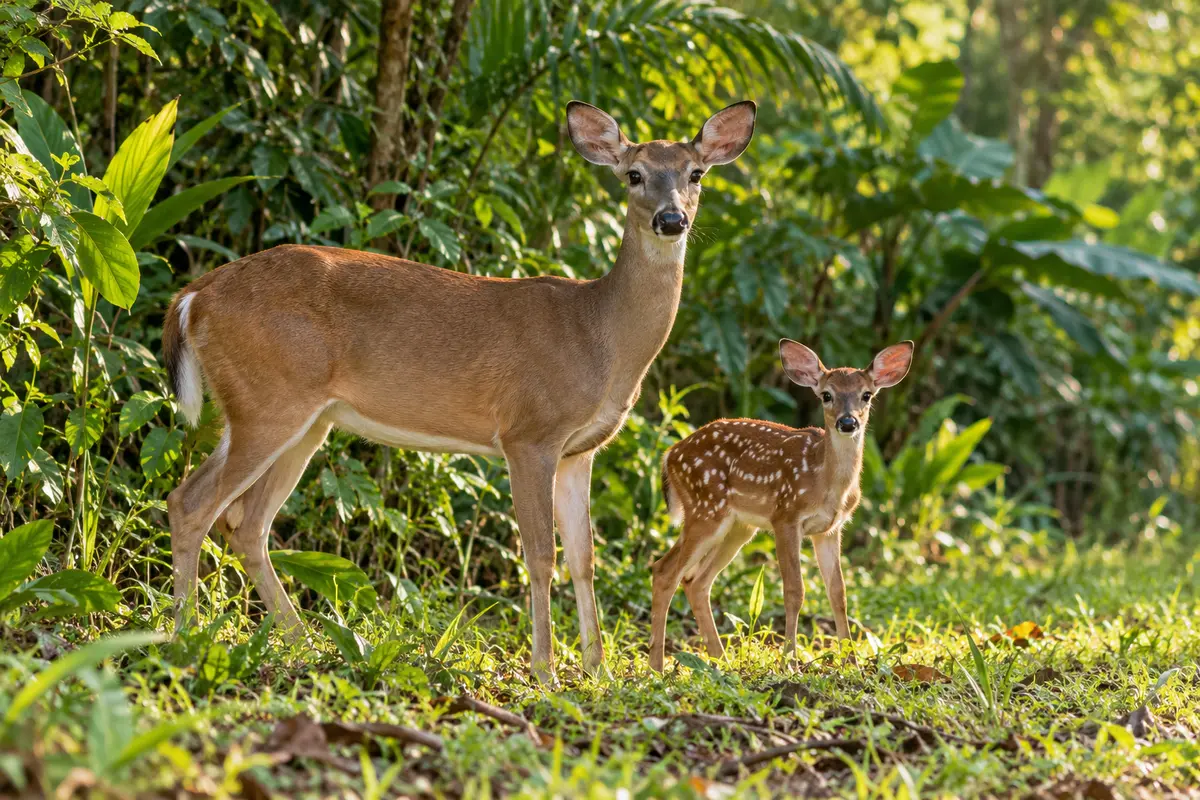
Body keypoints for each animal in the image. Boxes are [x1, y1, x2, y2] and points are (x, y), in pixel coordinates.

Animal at [161, 99, 756, 683]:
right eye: (634, 174)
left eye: (696, 174)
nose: (671, 219)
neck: (600, 334)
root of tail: (194, 295)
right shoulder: (529, 432)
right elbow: (541, 555)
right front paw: (546, 672)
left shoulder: (580, 451)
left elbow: (585, 558)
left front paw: (599, 670)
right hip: (268, 402)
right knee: (191, 503)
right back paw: (183, 635)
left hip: (302, 418)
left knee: (246, 523)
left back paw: (302, 644)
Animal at [648, 339, 914, 671]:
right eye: (827, 395)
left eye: (866, 395)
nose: (847, 422)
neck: (825, 481)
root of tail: (669, 455)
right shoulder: (786, 516)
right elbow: (794, 591)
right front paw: (790, 661)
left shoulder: (829, 529)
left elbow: (838, 593)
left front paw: (851, 660)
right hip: (706, 508)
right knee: (665, 572)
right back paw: (657, 667)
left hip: (737, 526)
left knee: (695, 581)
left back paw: (721, 661)